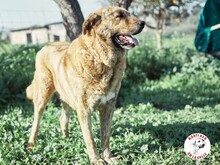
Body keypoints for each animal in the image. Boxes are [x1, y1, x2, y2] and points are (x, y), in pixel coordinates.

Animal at [26, 6, 144, 164]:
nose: (143, 23)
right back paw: (31, 145)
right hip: (42, 96)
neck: (101, 59)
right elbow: (90, 139)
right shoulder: (84, 110)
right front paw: (96, 160)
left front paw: (109, 157)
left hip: (67, 98)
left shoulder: (108, 107)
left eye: (128, 14)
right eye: (119, 16)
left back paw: (67, 140)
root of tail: (45, 46)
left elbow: (105, 136)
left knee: (63, 119)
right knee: (36, 121)